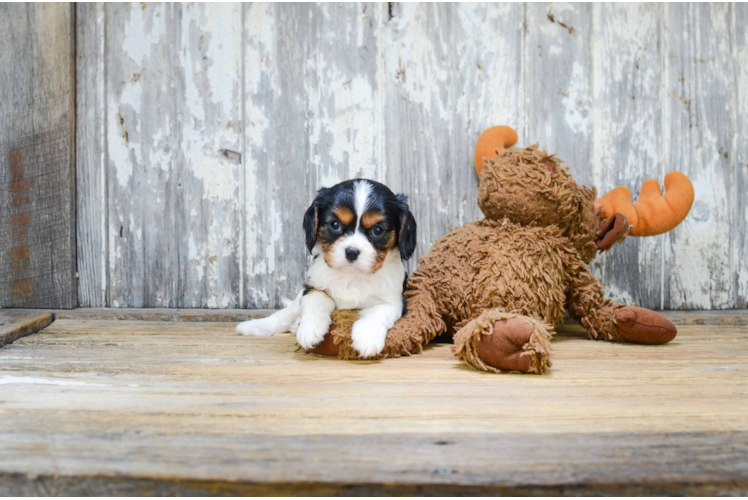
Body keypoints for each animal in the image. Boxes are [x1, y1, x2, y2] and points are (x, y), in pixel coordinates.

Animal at [235, 178, 414, 358]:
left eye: (377, 230)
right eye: (335, 224)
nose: (352, 252)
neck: (352, 275)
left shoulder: (394, 300)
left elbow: (379, 312)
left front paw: (367, 338)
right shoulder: (313, 287)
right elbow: (317, 300)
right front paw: (310, 329)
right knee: (283, 316)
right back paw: (255, 326)